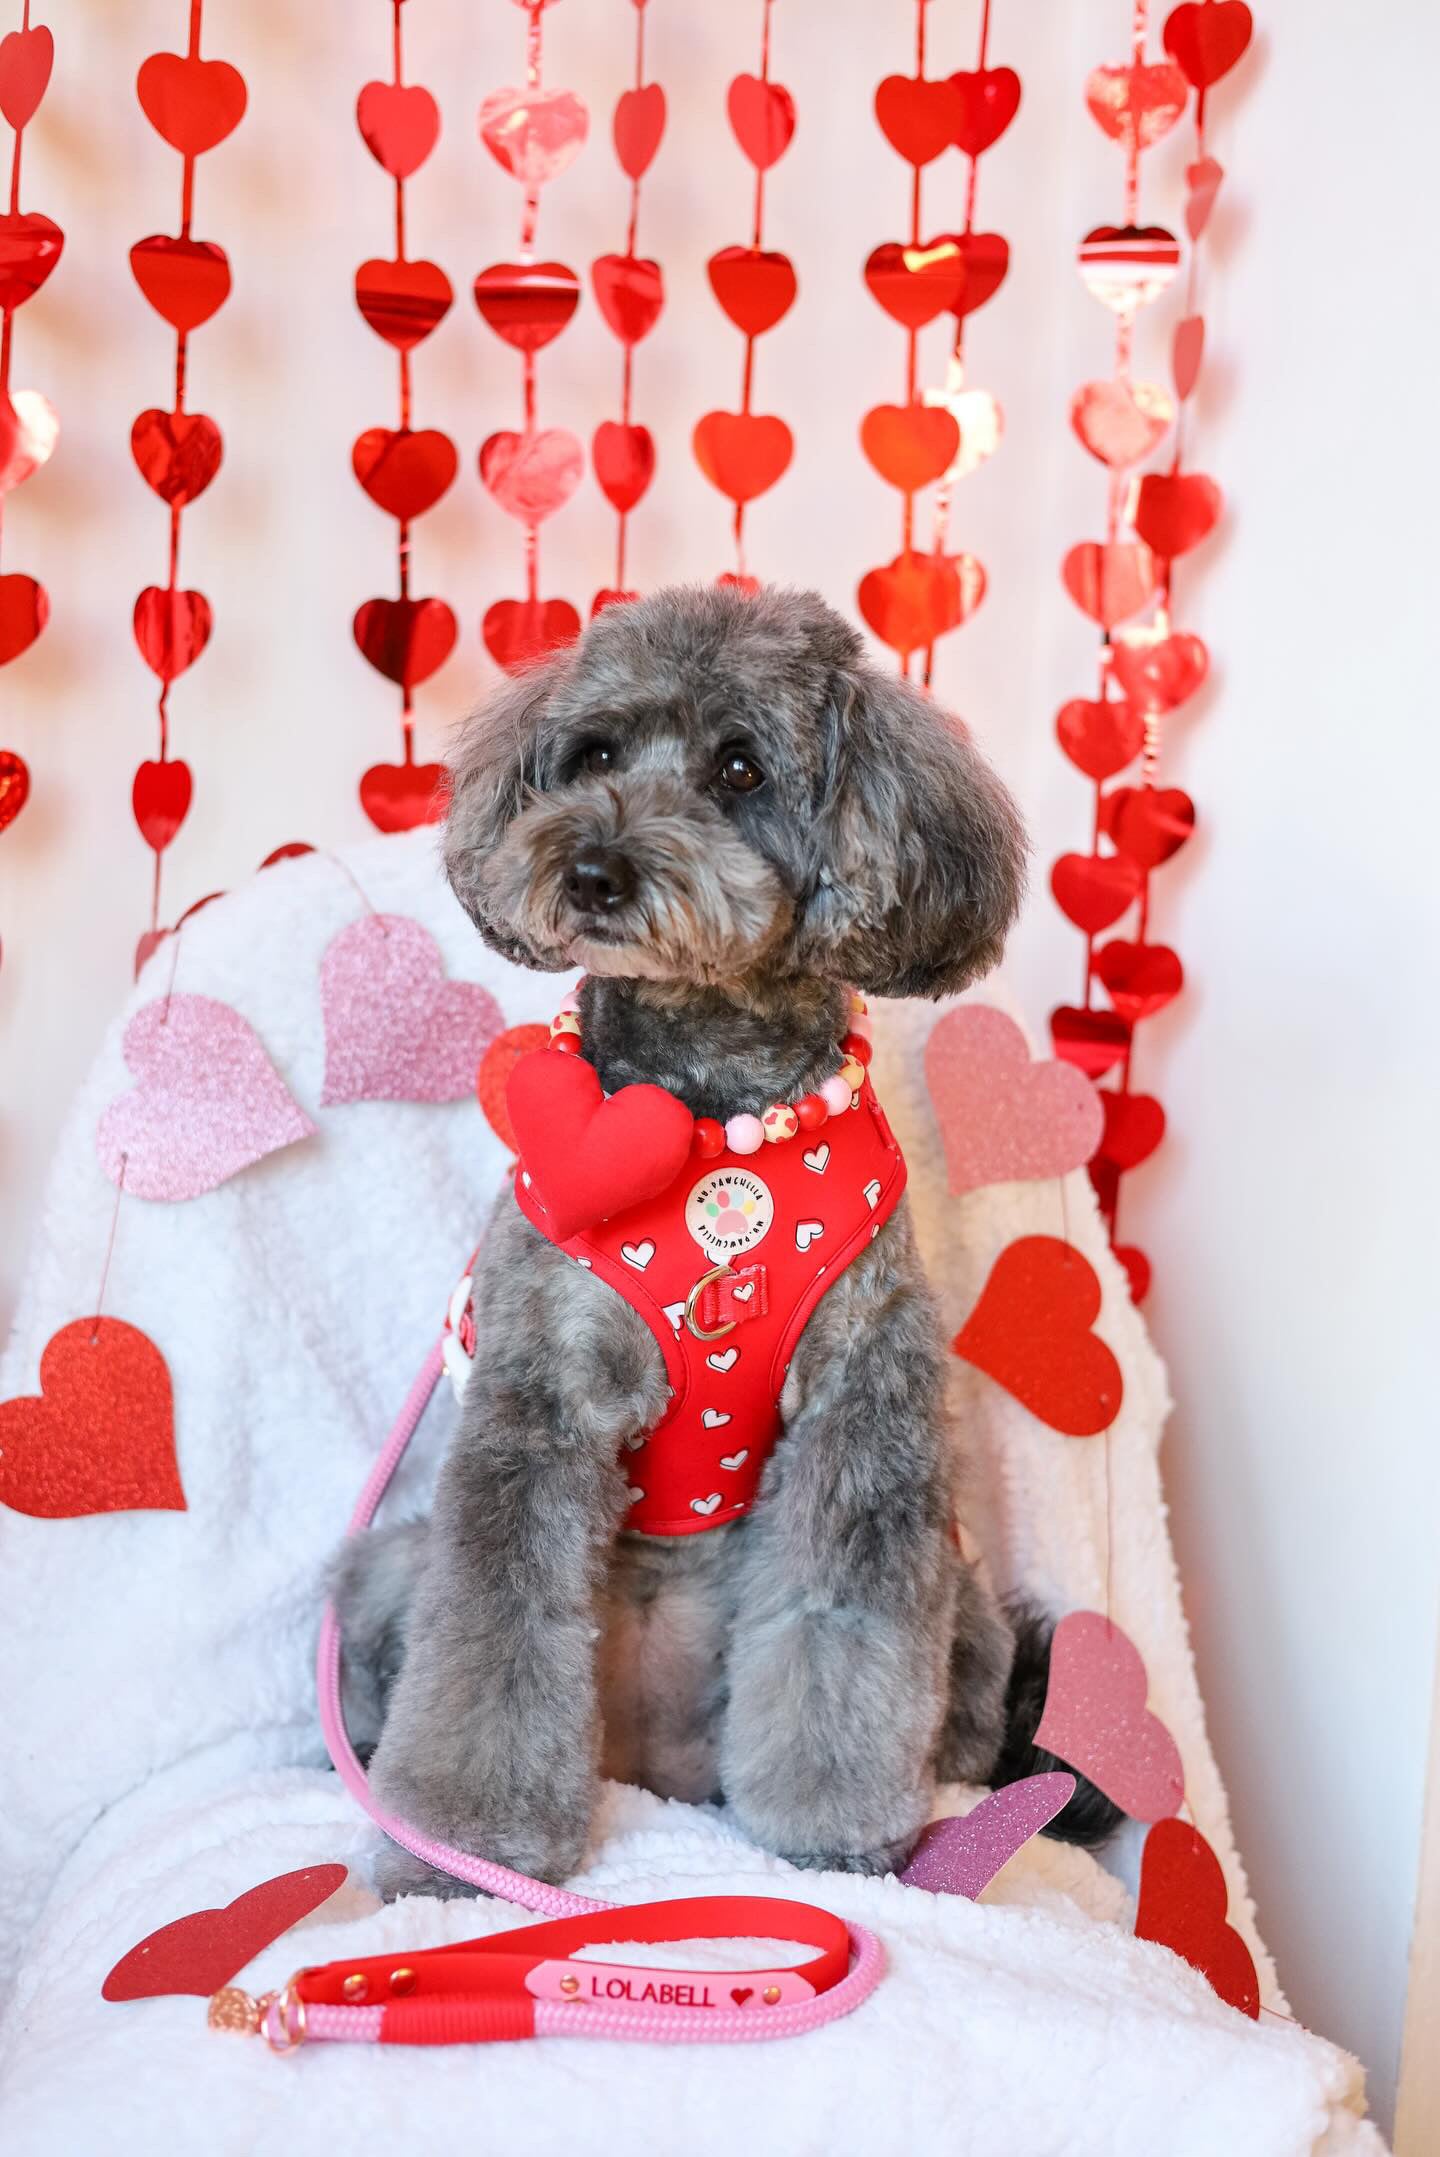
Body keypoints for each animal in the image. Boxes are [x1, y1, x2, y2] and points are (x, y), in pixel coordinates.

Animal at [334, 582, 1112, 1898]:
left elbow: (840, 1633)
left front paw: (833, 1832)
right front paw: (461, 1850)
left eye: (739, 768)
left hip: (963, 1608)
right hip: (391, 1563)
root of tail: (649, 1767)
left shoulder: (863, 1413)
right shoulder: (536, 1406)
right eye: (592, 756)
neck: (709, 1124)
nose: (591, 870)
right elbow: (495, 1628)